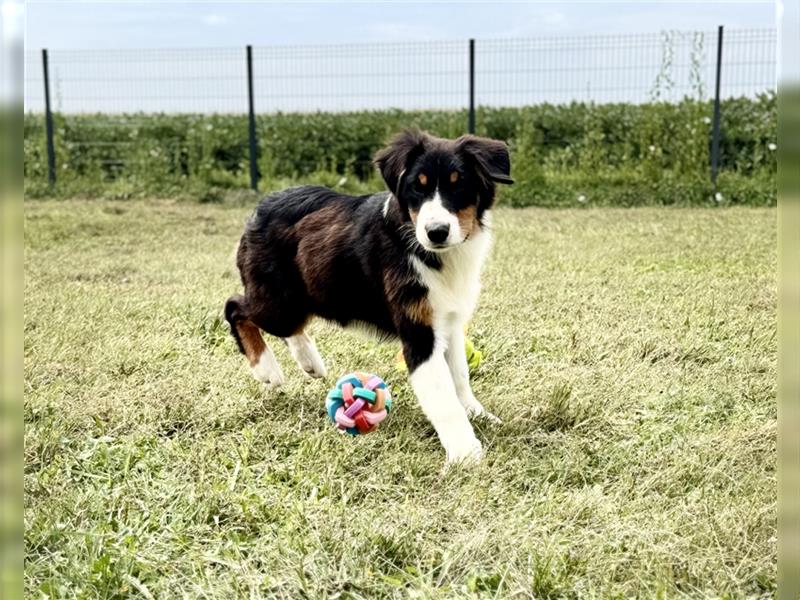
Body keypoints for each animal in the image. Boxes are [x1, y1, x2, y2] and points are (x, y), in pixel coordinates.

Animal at [225, 129, 512, 466]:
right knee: (235, 307)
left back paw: (310, 361)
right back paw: (267, 369)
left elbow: (459, 375)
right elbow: (443, 397)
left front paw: (477, 413)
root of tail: (262, 205)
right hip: (278, 304)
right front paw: (465, 452)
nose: (436, 232)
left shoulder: (450, 320)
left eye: (459, 184)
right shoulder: (418, 332)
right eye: (417, 187)